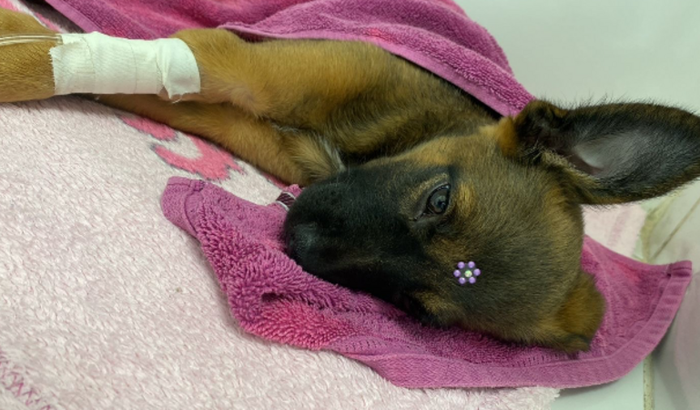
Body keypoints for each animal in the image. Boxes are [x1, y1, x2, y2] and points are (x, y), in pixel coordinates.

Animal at [1, 7, 699, 354]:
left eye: (413, 308)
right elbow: (53, 58)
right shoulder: (238, 62)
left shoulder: (255, 122)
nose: (299, 243)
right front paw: (20, 40)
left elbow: (123, 83)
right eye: (439, 199)